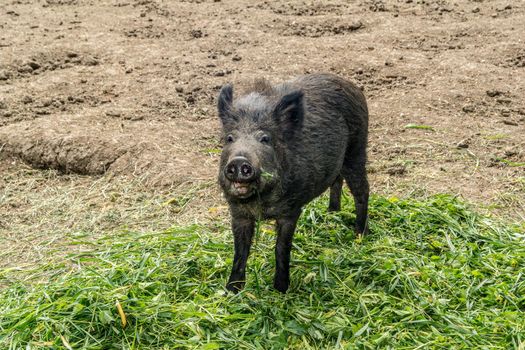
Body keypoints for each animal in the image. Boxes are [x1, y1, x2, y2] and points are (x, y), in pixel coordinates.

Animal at [217, 73, 368, 292]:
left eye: (265, 138)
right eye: (230, 138)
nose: (238, 161)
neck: (260, 204)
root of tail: (352, 86)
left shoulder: (291, 210)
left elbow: (281, 248)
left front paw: (281, 290)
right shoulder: (238, 213)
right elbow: (240, 251)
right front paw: (231, 291)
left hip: (357, 148)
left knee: (362, 191)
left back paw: (360, 235)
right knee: (337, 179)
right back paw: (332, 213)